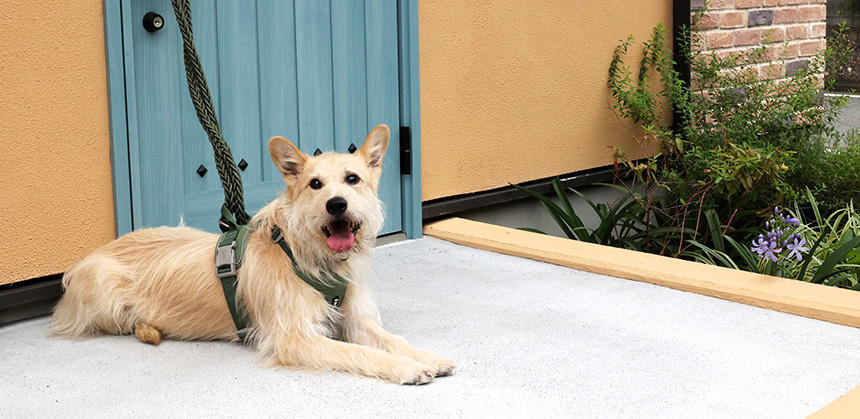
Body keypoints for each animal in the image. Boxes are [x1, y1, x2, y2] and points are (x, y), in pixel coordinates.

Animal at [52, 125, 456, 388]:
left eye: (353, 179)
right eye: (315, 184)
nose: (337, 204)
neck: (308, 255)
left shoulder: (356, 321)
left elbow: (392, 340)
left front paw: (427, 357)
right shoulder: (295, 338)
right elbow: (361, 354)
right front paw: (405, 369)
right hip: (102, 287)